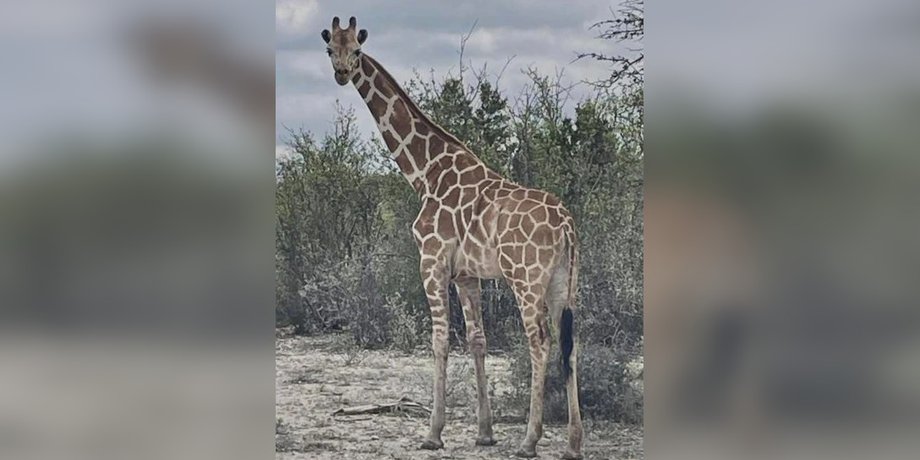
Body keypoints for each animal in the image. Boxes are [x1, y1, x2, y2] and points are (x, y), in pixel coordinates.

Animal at [322, 17, 584, 459]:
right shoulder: (466, 274)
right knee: (570, 343)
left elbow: (440, 340)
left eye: (356, 50)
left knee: (540, 341)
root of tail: (566, 224)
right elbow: (477, 340)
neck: (425, 172)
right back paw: (573, 443)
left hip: (526, 278)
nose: (341, 73)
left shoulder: (432, 261)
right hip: (565, 281)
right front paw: (484, 432)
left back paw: (530, 440)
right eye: (330, 49)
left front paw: (433, 433)